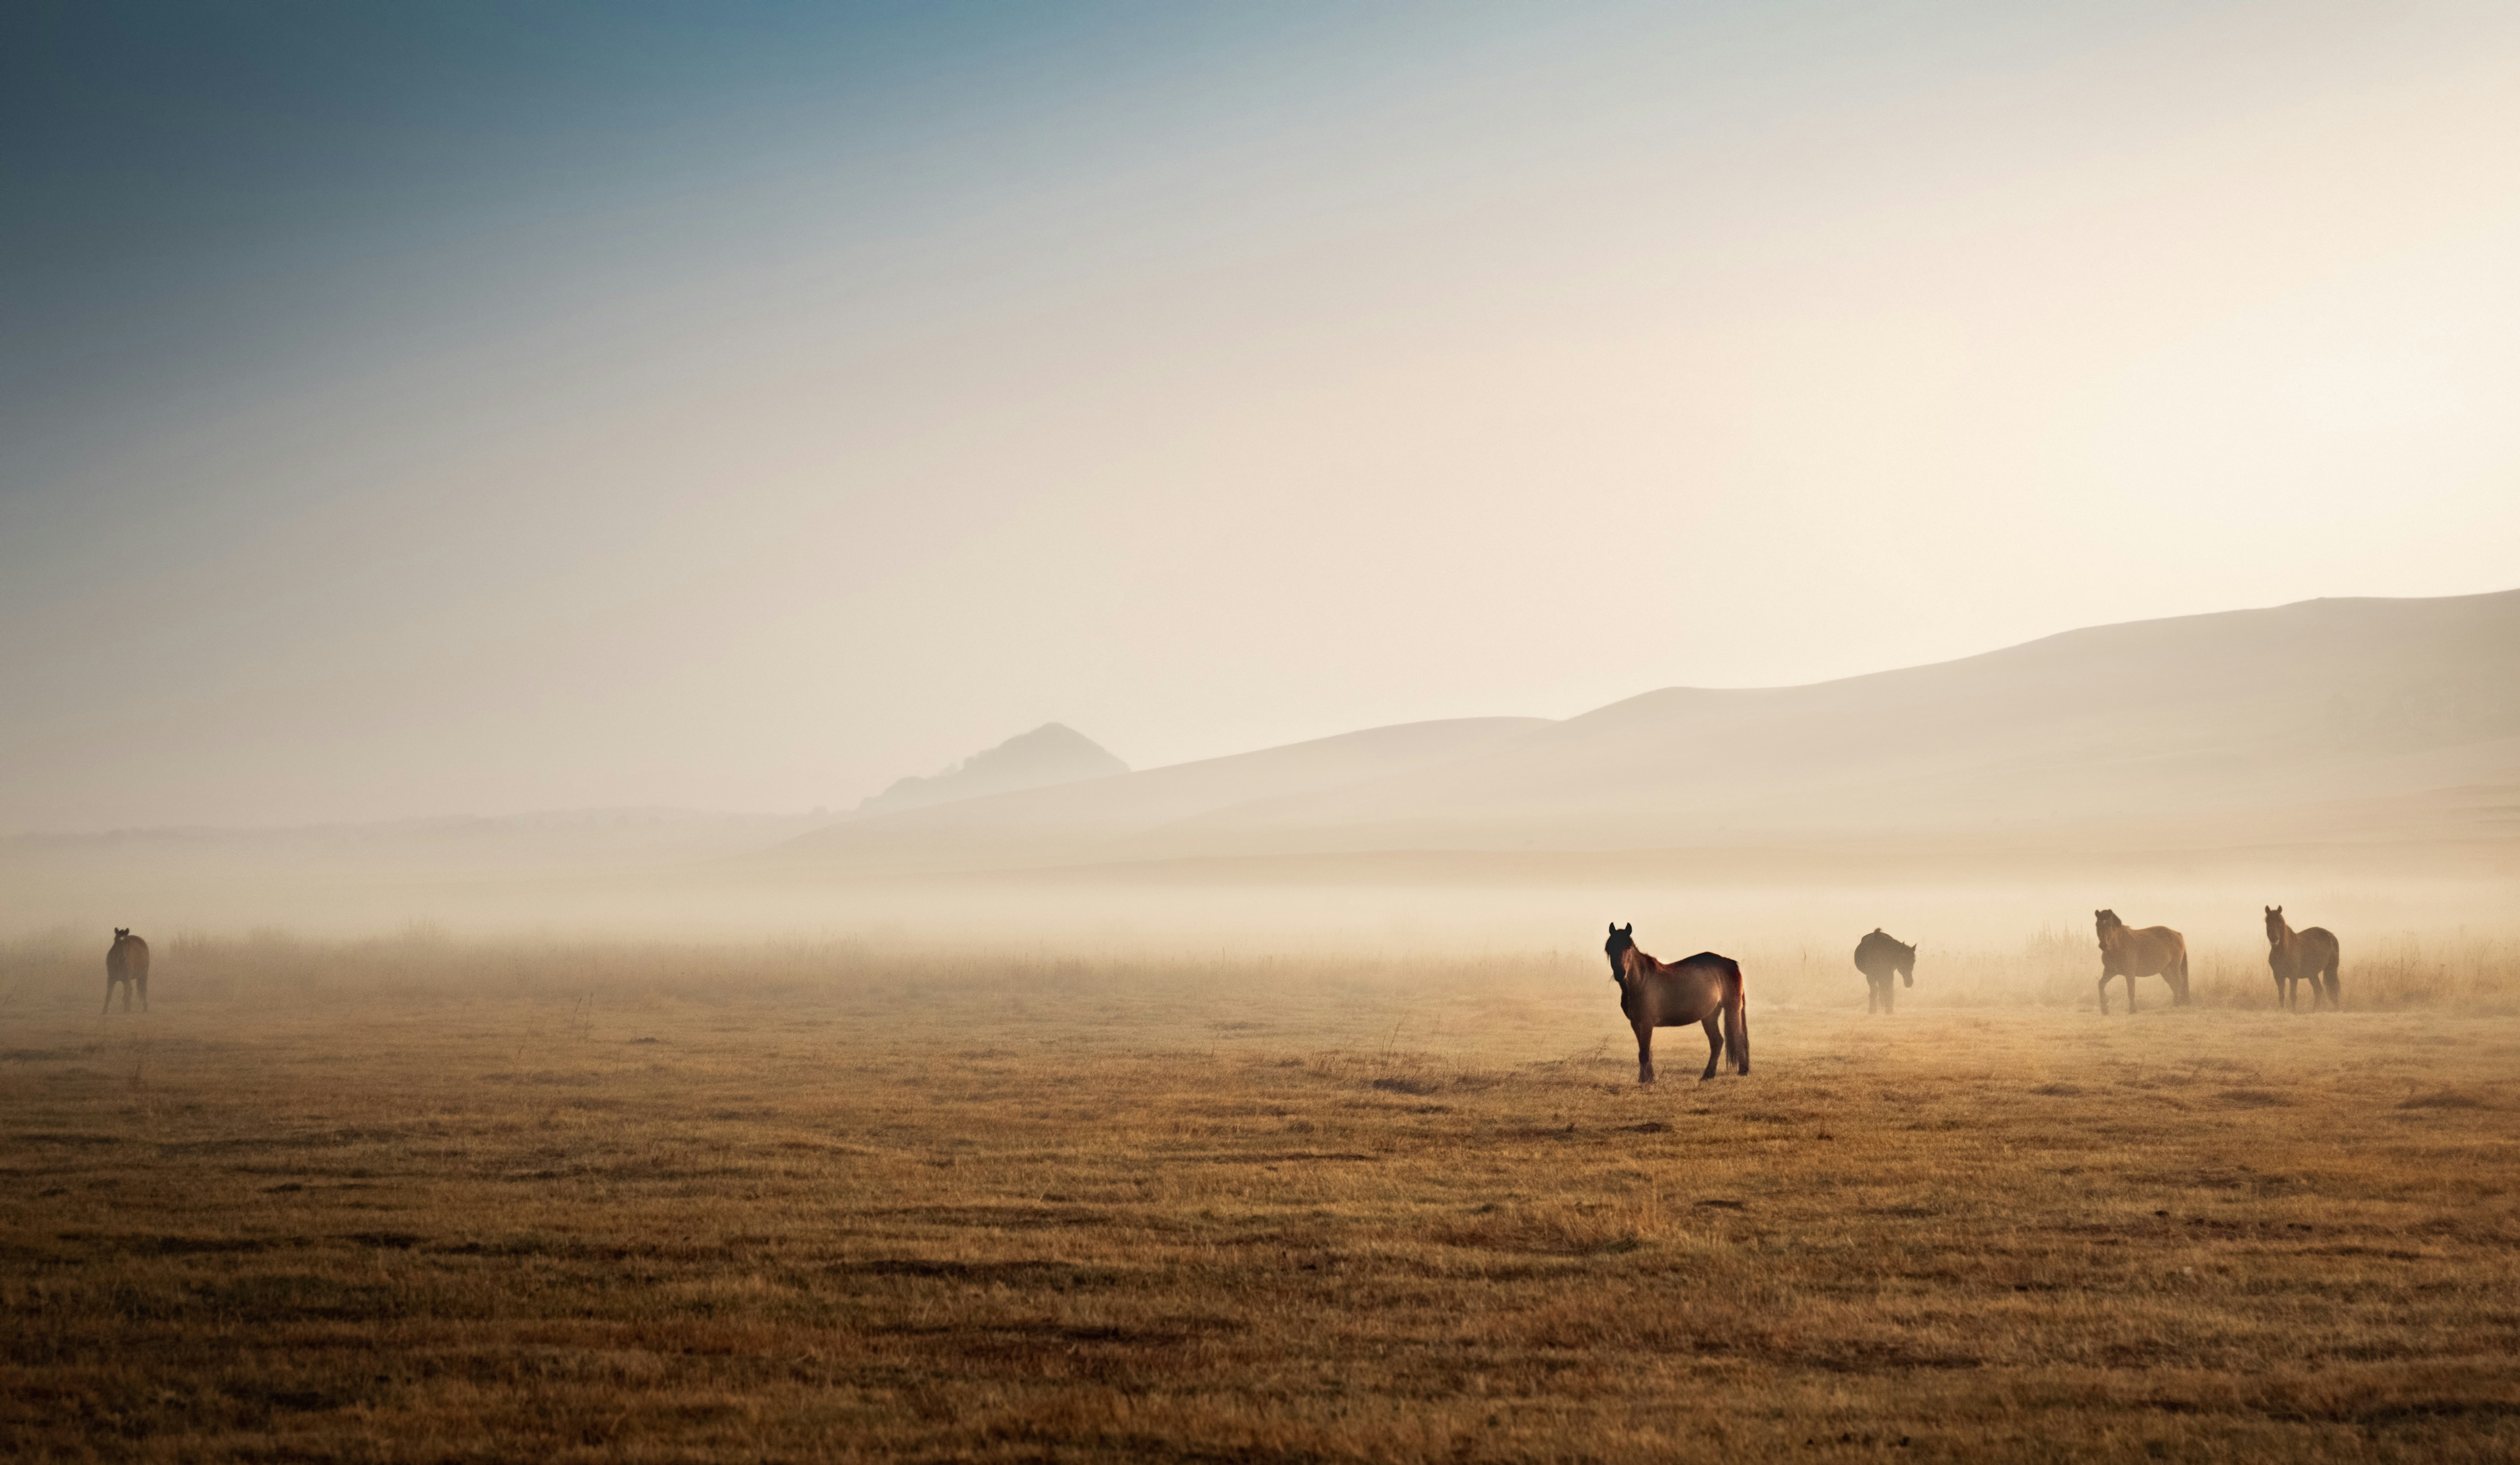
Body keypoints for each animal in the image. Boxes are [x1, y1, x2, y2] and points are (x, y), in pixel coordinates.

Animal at [105, 928, 150, 1014]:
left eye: (126, 942)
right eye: (116, 940)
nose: (123, 958)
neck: (118, 963)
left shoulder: (127, 978)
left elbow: (127, 993)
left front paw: (127, 1011)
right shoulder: (111, 978)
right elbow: (109, 994)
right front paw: (104, 1011)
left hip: (144, 975)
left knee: (144, 990)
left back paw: (145, 1009)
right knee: (129, 991)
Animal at [1603, 923, 1748, 1083]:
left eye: (1629, 948)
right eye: (1609, 948)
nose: (1620, 974)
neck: (1641, 982)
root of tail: (1730, 963)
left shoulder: (1647, 1023)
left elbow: (1645, 1052)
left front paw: (1646, 1080)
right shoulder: (1636, 1023)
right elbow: (1643, 1051)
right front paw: (1647, 1078)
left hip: (1732, 1008)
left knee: (1738, 1036)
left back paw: (1743, 1071)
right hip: (1710, 1016)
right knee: (1717, 1042)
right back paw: (1708, 1075)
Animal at [1853, 928, 1915, 1014]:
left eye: (1914, 961)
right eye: (1902, 961)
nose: (1909, 983)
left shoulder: (1889, 973)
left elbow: (1888, 990)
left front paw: (1889, 1010)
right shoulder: (1871, 975)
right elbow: (1874, 991)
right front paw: (1872, 1010)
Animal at [2093, 909, 2187, 1014]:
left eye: (2109, 925)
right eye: (2097, 925)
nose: (2103, 945)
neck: (2119, 946)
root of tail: (2177, 934)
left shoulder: (2130, 973)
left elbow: (2131, 991)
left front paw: (2133, 1010)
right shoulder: (2110, 971)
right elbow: (2101, 984)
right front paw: (2105, 1010)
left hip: (2174, 967)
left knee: (2179, 982)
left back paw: (2178, 1005)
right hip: (2165, 970)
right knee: (2173, 984)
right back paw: (2175, 1004)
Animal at [2264, 906, 2340, 1012]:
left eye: (2280, 921)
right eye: (2267, 921)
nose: (2274, 939)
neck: (2285, 950)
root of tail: (2331, 936)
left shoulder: (2293, 976)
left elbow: (2293, 995)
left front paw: (2294, 1012)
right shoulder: (2278, 976)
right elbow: (2281, 996)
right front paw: (2282, 1011)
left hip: (2331, 969)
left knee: (2334, 988)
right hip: (2313, 974)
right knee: (2319, 991)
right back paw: (2314, 1011)